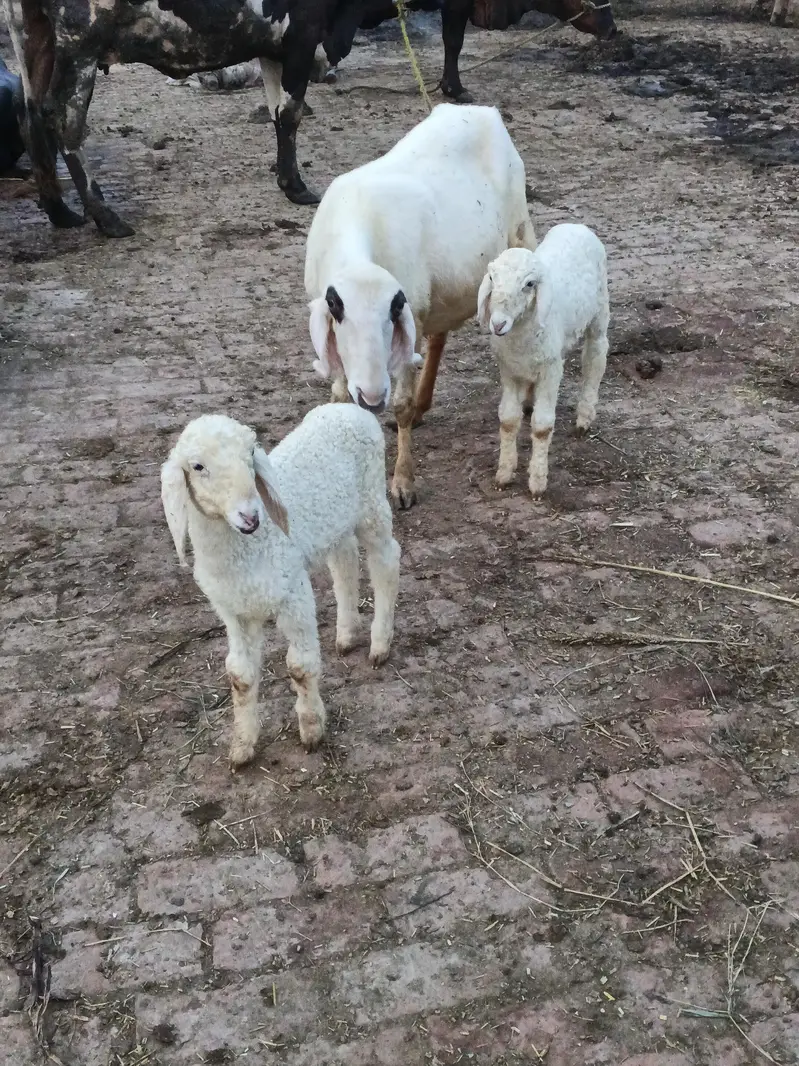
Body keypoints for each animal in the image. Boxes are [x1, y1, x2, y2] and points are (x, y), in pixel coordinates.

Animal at [160, 405, 401, 767]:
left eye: (250, 454)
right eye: (197, 466)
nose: (250, 516)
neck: (245, 553)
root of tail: (349, 407)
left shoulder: (293, 593)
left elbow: (299, 667)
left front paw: (312, 730)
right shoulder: (234, 613)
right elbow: (240, 676)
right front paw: (242, 747)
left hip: (372, 503)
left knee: (387, 561)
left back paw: (379, 644)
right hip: (337, 521)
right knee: (344, 562)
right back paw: (346, 635)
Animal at [304, 102, 537, 510]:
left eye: (392, 310)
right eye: (336, 307)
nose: (372, 396)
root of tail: (480, 109)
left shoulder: (407, 321)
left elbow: (401, 403)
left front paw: (403, 482)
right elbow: (340, 397)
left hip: (519, 229)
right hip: (441, 292)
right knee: (439, 337)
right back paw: (425, 405)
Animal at [477, 222, 609, 498]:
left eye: (529, 284)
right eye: (492, 279)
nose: (498, 324)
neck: (520, 336)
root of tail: (577, 225)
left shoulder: (550, 370)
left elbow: (542, 427)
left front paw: (537, 482)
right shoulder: (509, 370)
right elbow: (508, 420)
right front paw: (504, 473)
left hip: (600, 309)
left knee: (595, 357)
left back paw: (584, 417)